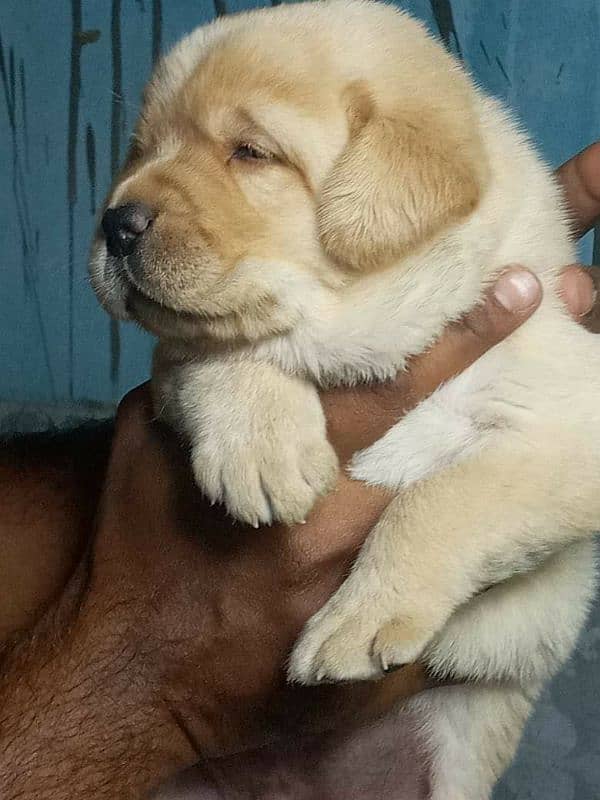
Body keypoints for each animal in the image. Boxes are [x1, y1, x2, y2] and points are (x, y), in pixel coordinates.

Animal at [90, 3, 600, 796]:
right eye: (139, 149)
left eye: (250, 153)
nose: (115, 225)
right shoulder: (175, 365)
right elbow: (224, 352)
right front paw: (262, 453)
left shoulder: (566, 420)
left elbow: (444, 498)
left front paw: (357, 623)